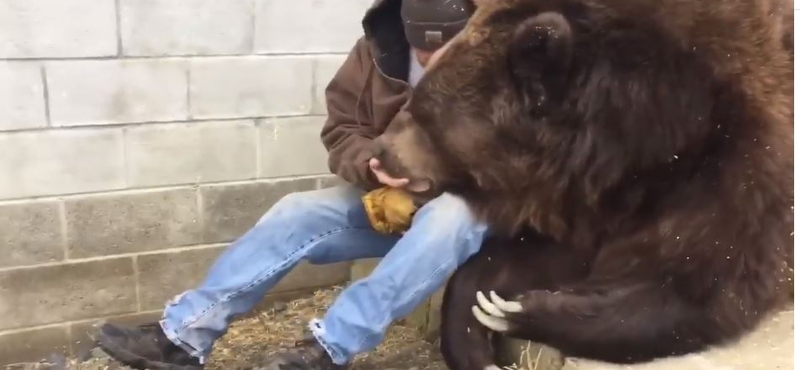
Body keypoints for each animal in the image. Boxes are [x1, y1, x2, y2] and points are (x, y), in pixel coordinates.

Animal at [368, 0, 792, 370]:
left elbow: (703, 287)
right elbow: (535, 257)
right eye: (415, 102)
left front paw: (519, 311)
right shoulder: (586, 200)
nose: (380, 152)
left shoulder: (738, 163)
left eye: (422, 113)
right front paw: (478, 326)